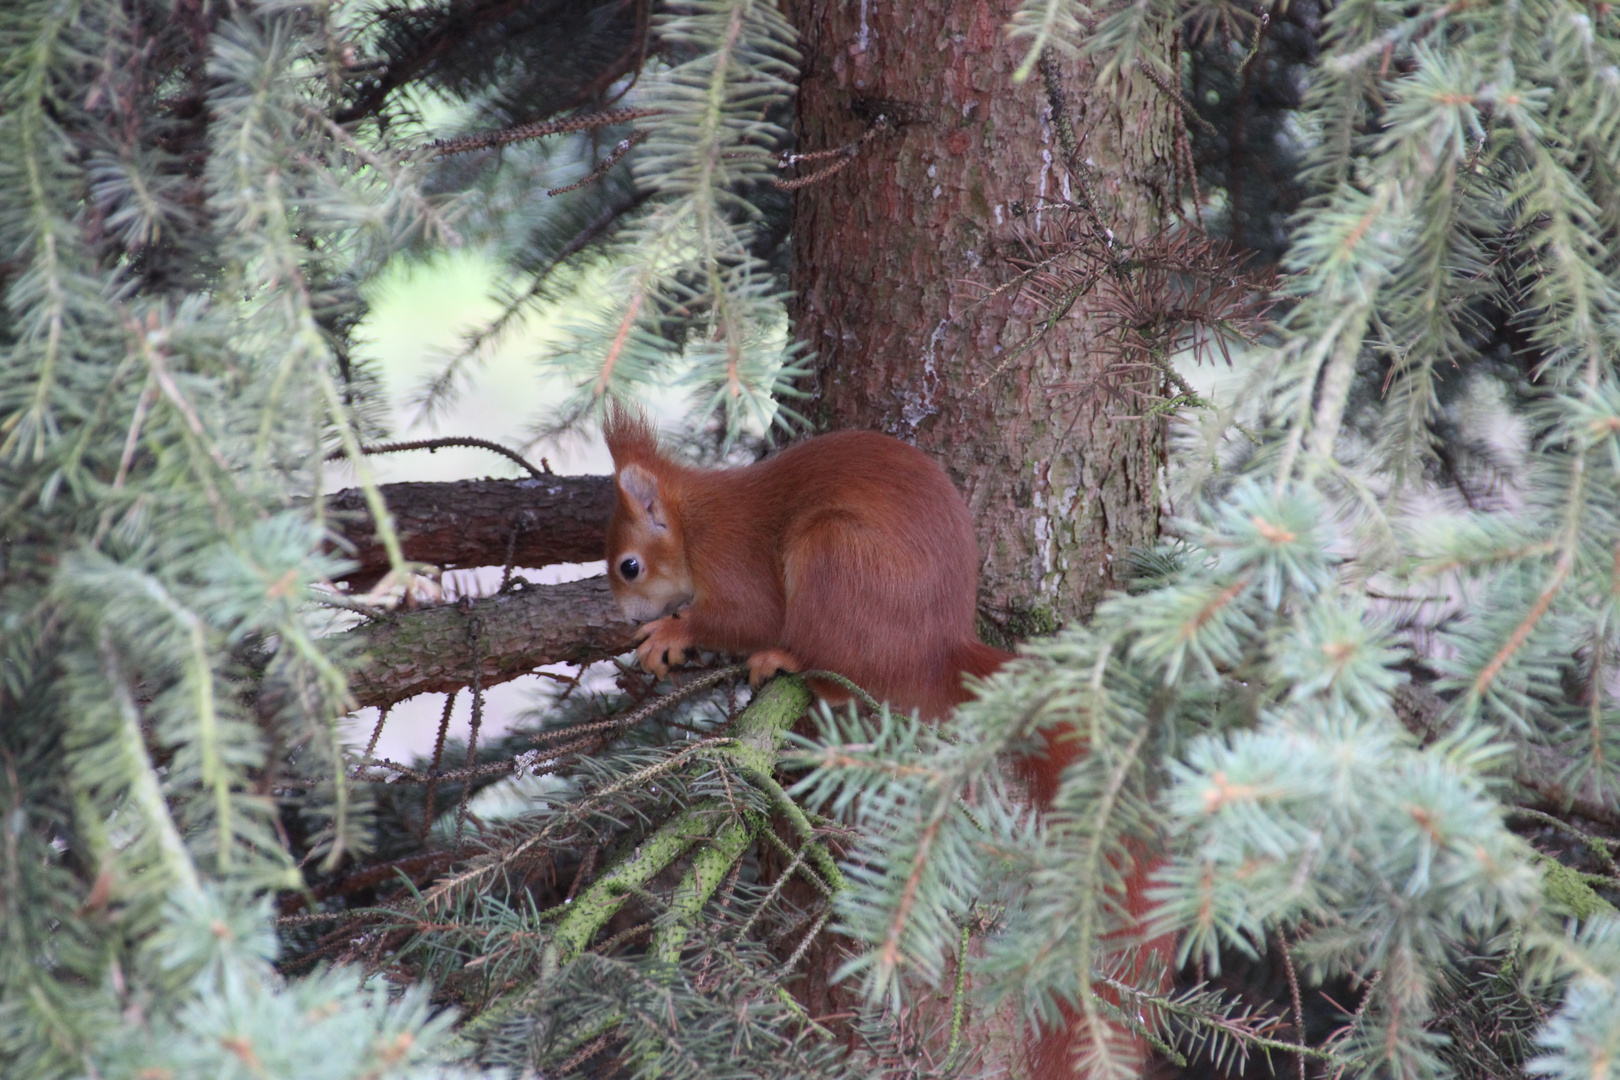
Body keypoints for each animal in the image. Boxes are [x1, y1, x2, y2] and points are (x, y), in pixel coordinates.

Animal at [602, 409, 1004, 712]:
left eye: (630, 567)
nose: (632, 618)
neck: (691, 523)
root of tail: (941, 650)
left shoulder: (729, 553)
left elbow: (754, 617)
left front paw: (670, 632)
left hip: (835, 553)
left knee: (842, 679)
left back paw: (789, 660)